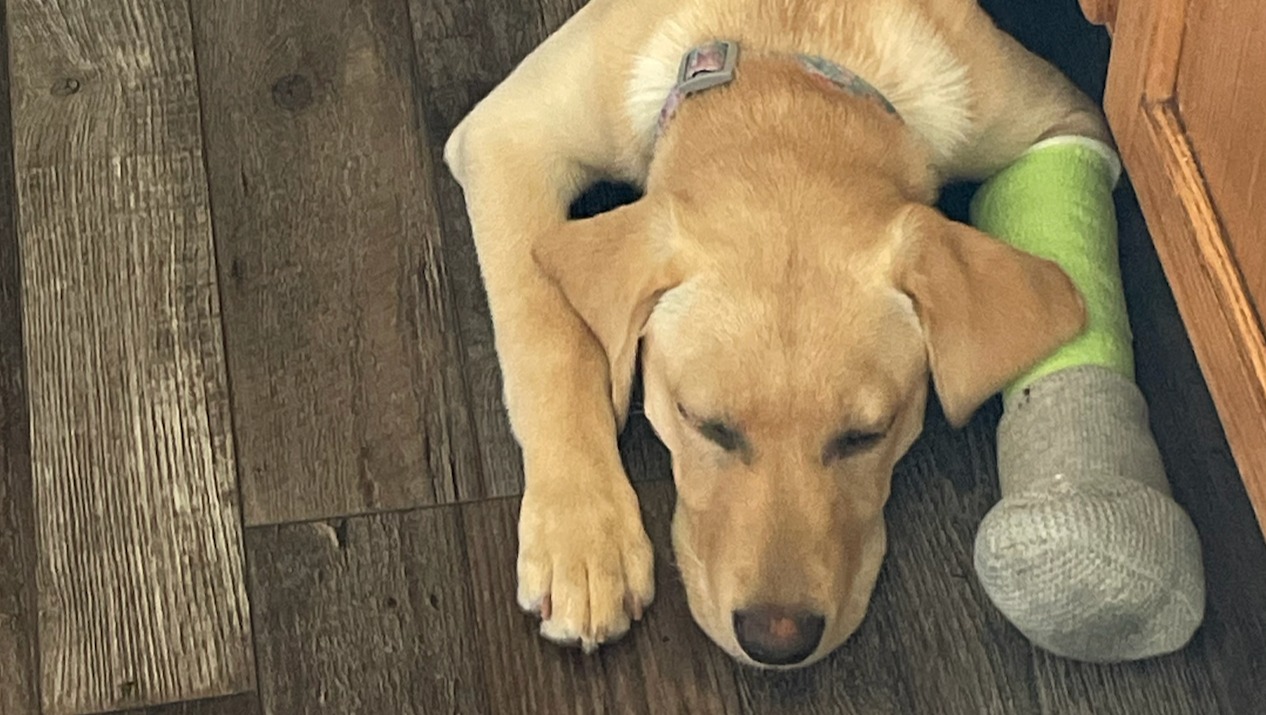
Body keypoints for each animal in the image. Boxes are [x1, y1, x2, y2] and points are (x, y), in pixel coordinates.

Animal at [444, 0, 1106, 668]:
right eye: (702, 423)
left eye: (867, 436)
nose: (777, 641)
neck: (787, 58)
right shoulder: (506, 133)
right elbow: (546, 331)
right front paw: (582, 542)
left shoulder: (1065, 118)